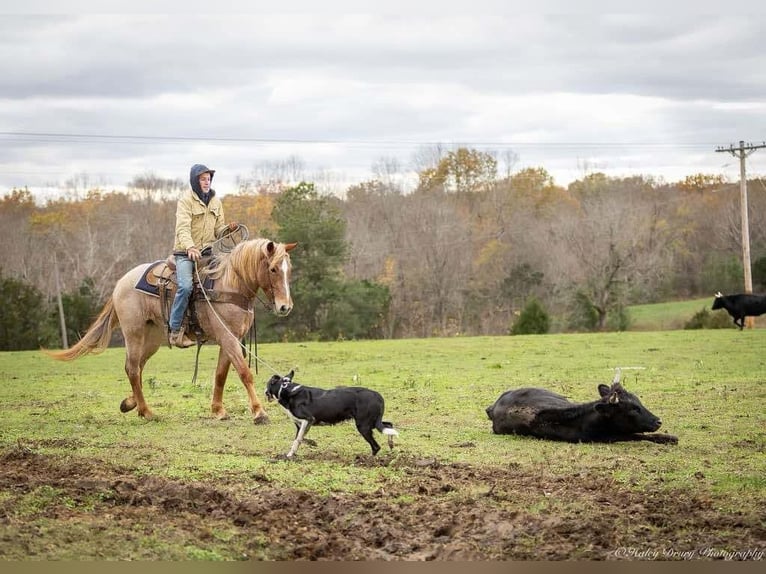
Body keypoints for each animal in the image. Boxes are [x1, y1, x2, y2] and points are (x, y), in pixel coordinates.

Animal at [45, 236, 296, 426]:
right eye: (273, 269)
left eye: (289, 270)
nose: (285, 307)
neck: (230, 283)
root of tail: (121, 282)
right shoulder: (228, 339)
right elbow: (245, 373)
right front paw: (259, 413)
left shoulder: (231, 339)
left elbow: (220, 375)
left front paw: (218, 410)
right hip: (134, 333)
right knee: (133, 369)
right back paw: (146, 411)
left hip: (152, 339)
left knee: (136, 368)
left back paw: (131, 403)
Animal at [264, 372, 400, 462]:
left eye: (268, 384)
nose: (264, 392)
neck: (286, 390)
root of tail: (378, 396)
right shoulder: (302, 424)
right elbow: (300, 438)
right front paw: (311, 443)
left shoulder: (308, 419)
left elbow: (297, 440)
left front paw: (289, 456)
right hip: (373, 422)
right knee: (389, 425)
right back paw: (391, 444)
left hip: (363, 426)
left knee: (376, 447)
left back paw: (367, 460)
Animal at [486, 372, 680, 448]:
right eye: (633, 409)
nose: (658, 421)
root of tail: (493, 407)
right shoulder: (611, 437)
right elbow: (639, 435)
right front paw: (669, 438)